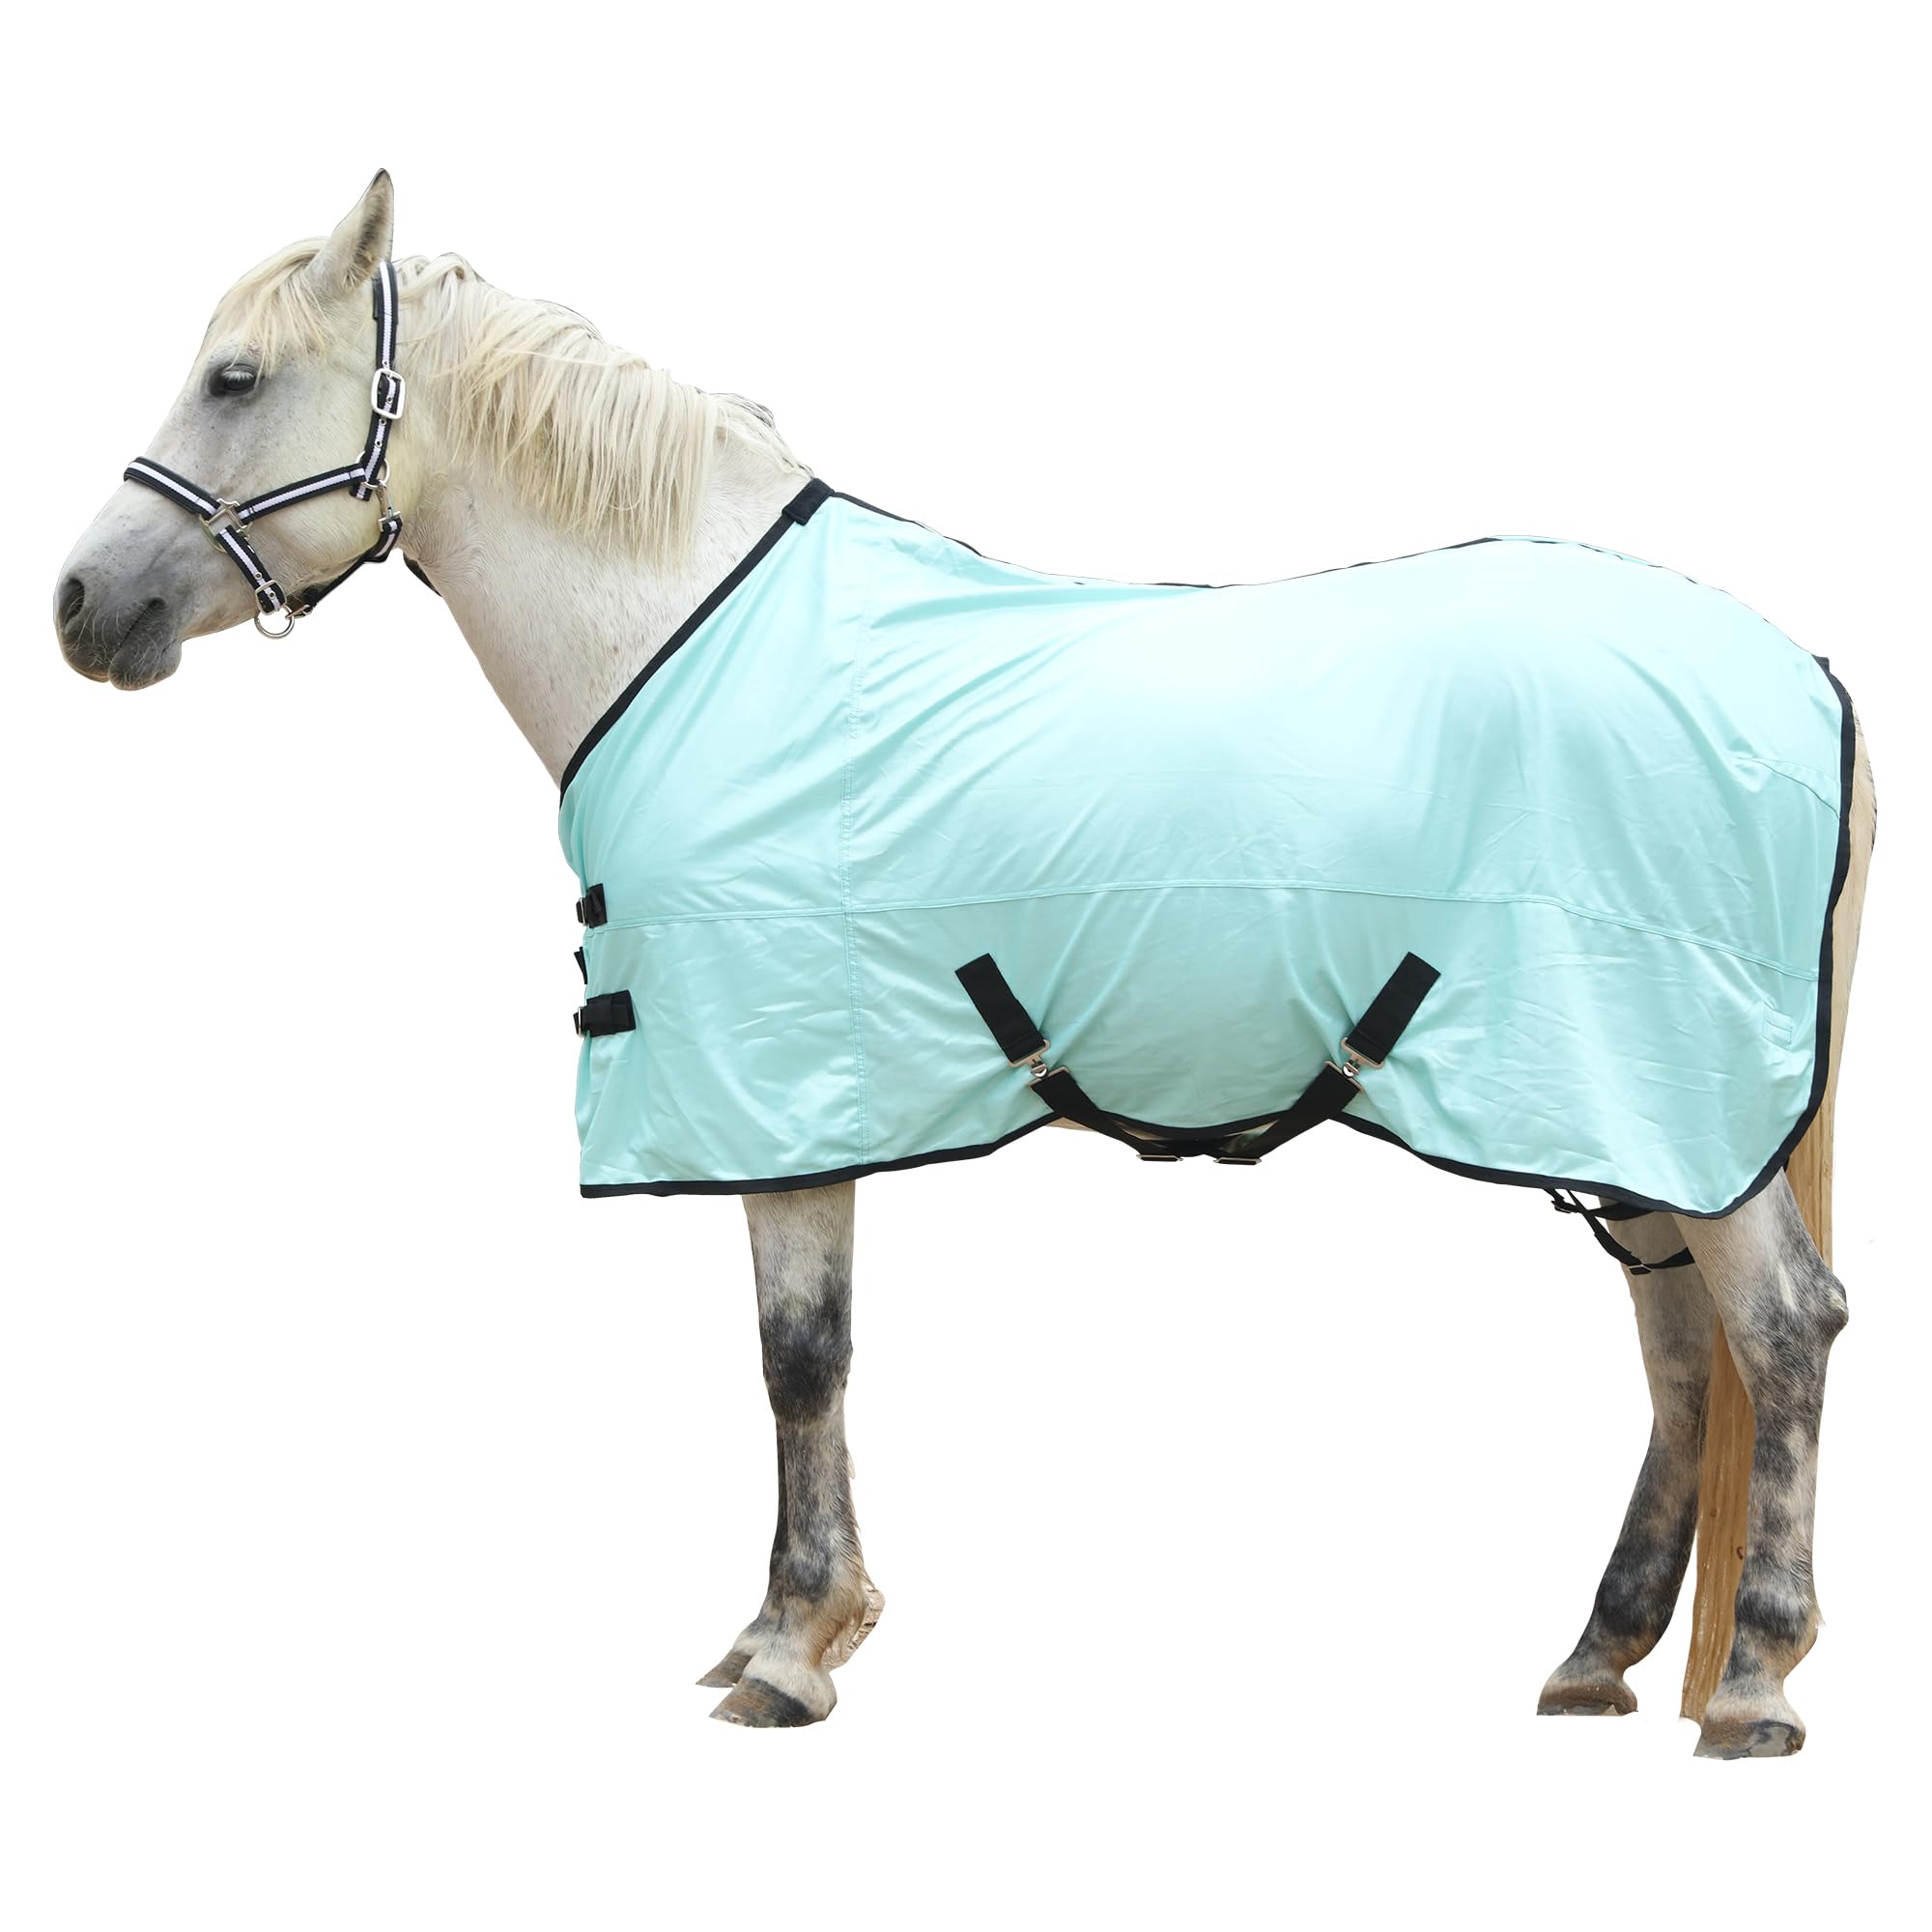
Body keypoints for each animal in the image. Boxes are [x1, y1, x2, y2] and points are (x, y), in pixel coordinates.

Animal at [53, 173, 1875, 1750]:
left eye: (232, 378)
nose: (82, 606)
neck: (689, 632)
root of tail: (1805, 678)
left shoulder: (780, 1078)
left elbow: (799, 1356)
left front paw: (788, 1652)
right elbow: (815, 1352)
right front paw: (806, 1622)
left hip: (1663, 1096)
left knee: (1783, 1329)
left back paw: (1754, 1679)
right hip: (1626, 1115)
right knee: (1679, 1348)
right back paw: (1601, 1655)